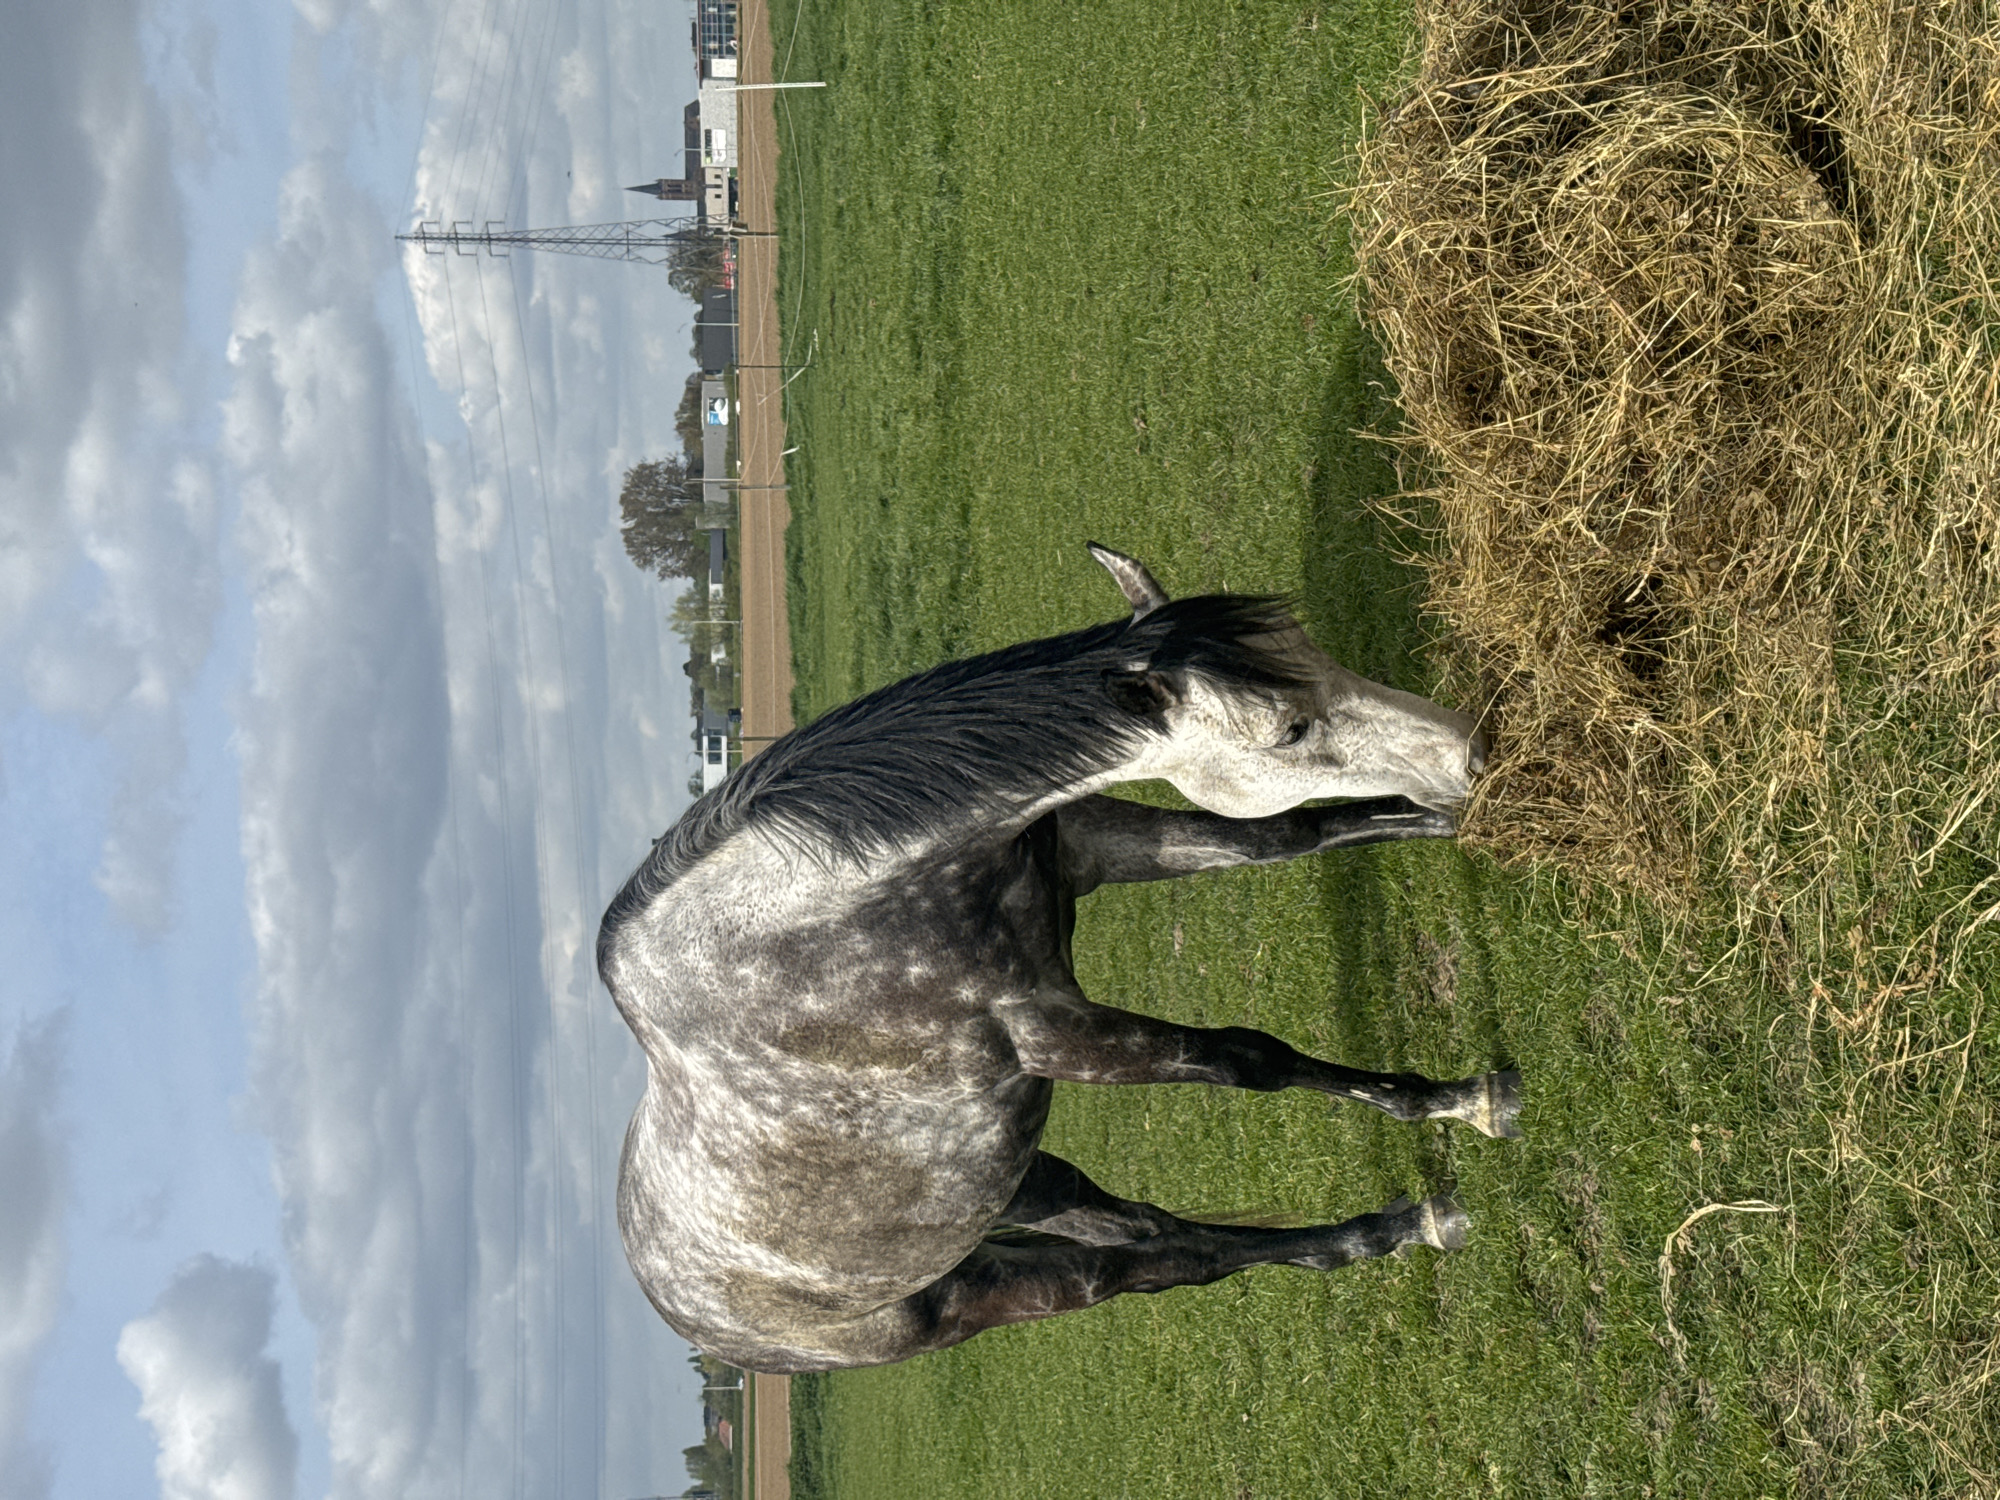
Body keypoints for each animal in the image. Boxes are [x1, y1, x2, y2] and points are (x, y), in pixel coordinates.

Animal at [599, 545, 1521, 1372]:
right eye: (1290, 730)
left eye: (1314, 652)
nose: (1469, 751)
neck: (816, 921)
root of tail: (689, 1313)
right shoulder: (1055, 1035)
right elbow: (1250, 1058)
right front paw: (1462, 1099)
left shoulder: (1094, 844)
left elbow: (1296, 834)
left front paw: (1454, 821)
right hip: (976, 1297)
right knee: (1159, 1264)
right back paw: (1402, 1226)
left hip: (1017, 1188)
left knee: (1147, 1228)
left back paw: (1369, 1237)